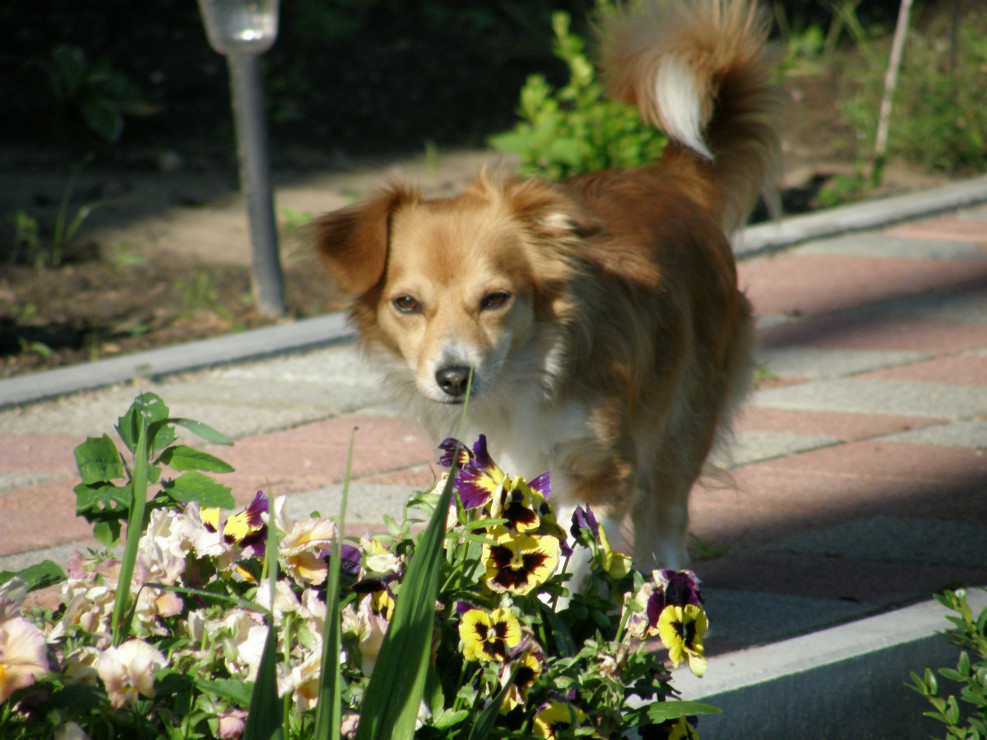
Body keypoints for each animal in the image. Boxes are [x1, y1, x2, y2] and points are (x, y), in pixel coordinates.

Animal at [314, 0, 788, 572]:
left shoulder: (601, 473)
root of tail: (671, 181)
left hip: (685, 418)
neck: (519, 383)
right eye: (406, 304)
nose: (454, 378)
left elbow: (565, 566)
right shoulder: (484, 475)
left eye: (495, 300)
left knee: (666, 523)